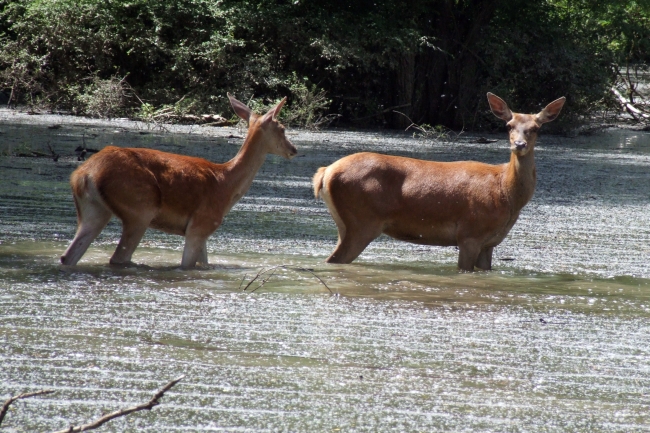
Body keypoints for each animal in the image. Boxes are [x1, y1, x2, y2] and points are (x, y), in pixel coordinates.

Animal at [59, 93, 298, 266]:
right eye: (282, 128)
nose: (293, 150)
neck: (226, 184)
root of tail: (84, 175)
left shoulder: (201, 232)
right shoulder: (200, 225)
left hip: (93, 210)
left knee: (68, 255)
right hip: (139, 208)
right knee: (119, 257)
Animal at [312, 93, 560, 270]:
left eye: (535, 128)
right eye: (509, 125)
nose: (519, 144)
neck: (505, 193)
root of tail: (325, 172)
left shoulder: (490, 243)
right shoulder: (470, 233)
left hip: (345, 223)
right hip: (362, 221)